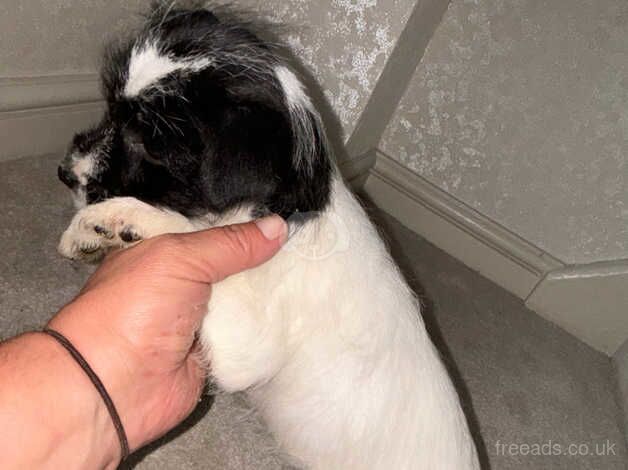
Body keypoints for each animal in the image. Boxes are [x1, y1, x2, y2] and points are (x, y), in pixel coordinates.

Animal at [59, 4, 478, 470]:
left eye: (148, 143)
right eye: (111, 109)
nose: (65, 173)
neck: (291, 209)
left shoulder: (246, 342)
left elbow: (187, 233)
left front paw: (115, 219)